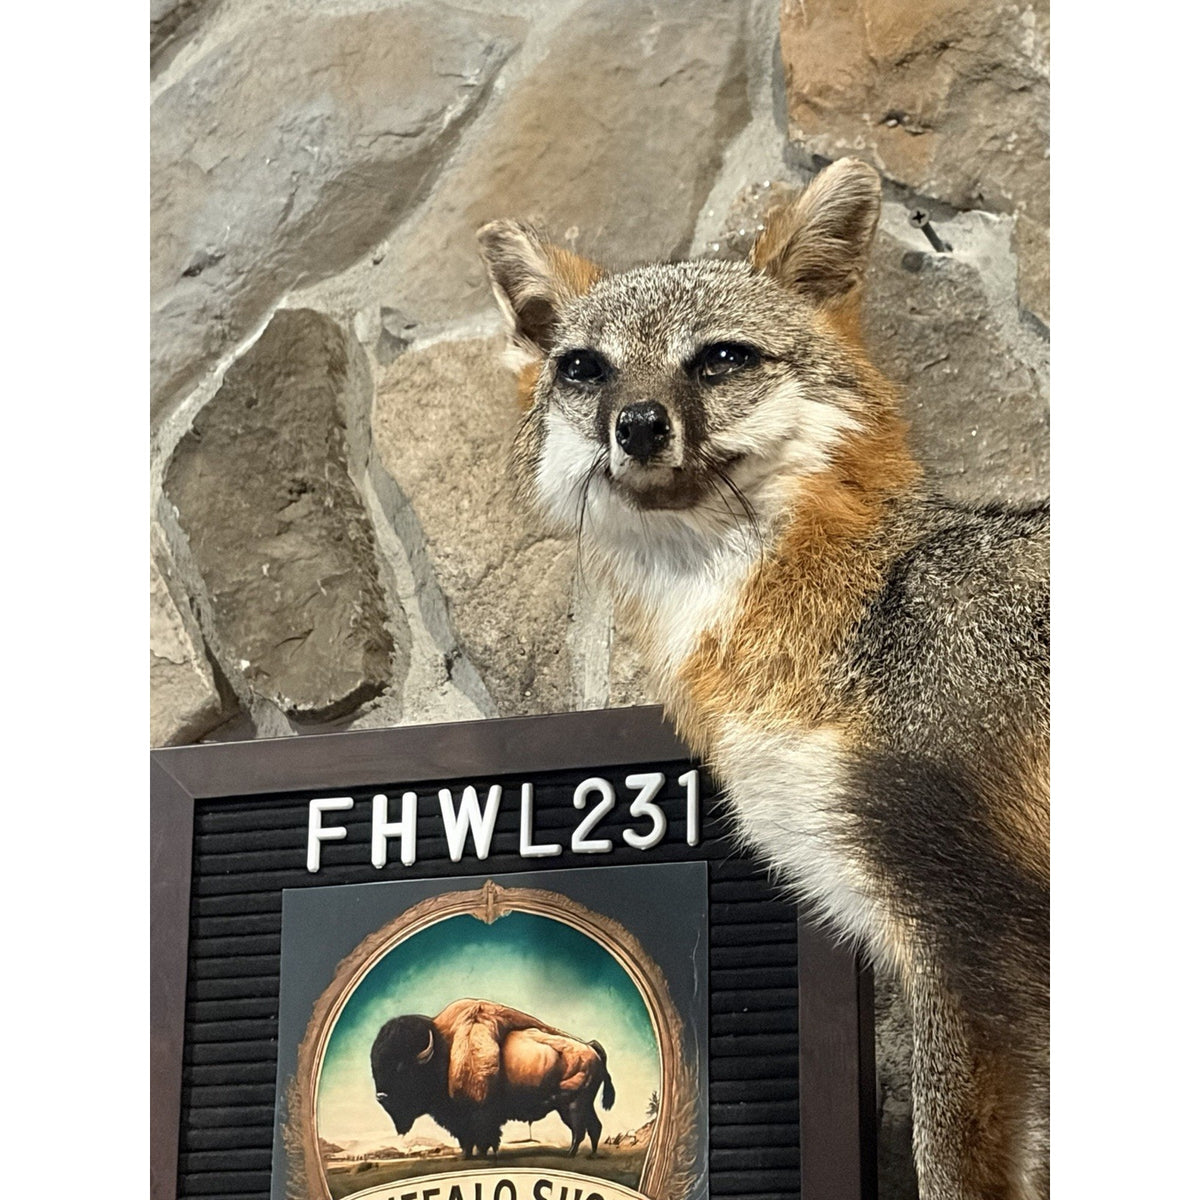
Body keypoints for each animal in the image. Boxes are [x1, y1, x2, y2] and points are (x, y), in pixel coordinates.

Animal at [475, 156, 1049, 1200]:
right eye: (585, 368)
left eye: (719, 359)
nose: (639, 425)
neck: (861, 613)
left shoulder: (970, 930)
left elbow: (948, 1162)